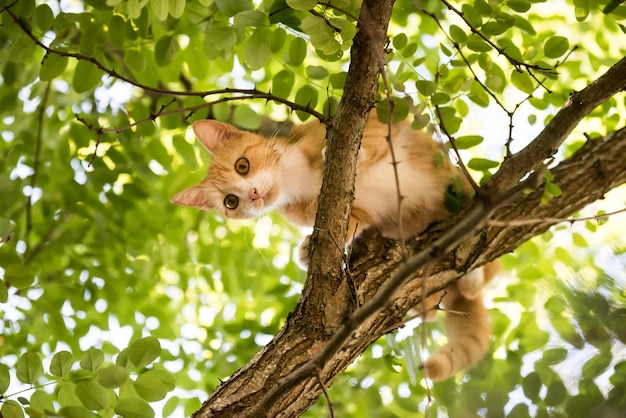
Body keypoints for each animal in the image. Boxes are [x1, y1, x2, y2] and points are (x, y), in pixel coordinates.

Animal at [173, 111, 494, 382]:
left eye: (242, 165)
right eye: (231, 202)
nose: (252, 194)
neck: (296, 179)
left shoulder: (368, 123)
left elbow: (372, 135)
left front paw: (355, 153)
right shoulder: (357, 210)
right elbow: (349, 224)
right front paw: (307, 249)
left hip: (461, 188)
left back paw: (473, 272)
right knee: (433, 310)